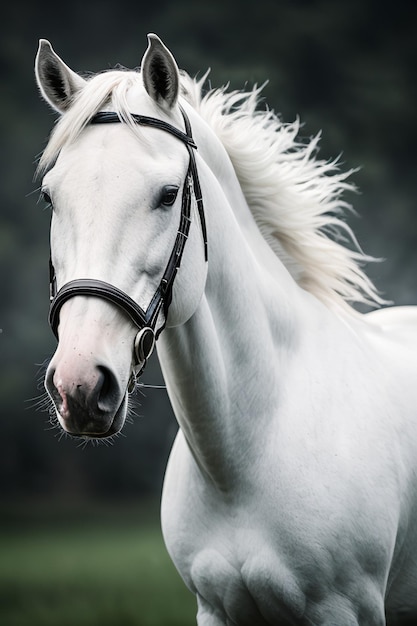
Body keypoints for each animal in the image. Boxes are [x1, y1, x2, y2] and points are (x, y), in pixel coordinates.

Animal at [35, 35, 416, 624]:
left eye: (169, 194)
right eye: (52, 197)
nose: (79, 385)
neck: (247, 453)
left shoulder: (342, 611)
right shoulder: (216, 610)